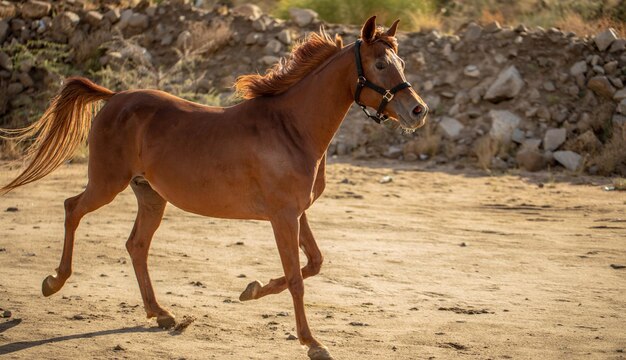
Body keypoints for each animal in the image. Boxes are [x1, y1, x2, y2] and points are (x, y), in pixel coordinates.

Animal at [0, 16, 426, 360]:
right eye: (380, 64)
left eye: (402, 63)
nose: (418, 111)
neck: (291, 128)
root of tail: (115, 97)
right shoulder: (283, 217)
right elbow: (295, 278)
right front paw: (312, 343)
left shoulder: (297, 213)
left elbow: (313, 264)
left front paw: (251, 290)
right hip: (107, 183)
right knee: (72, 208)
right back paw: (53, 283)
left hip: (150, 196)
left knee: (136, 245)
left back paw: (161, 314)